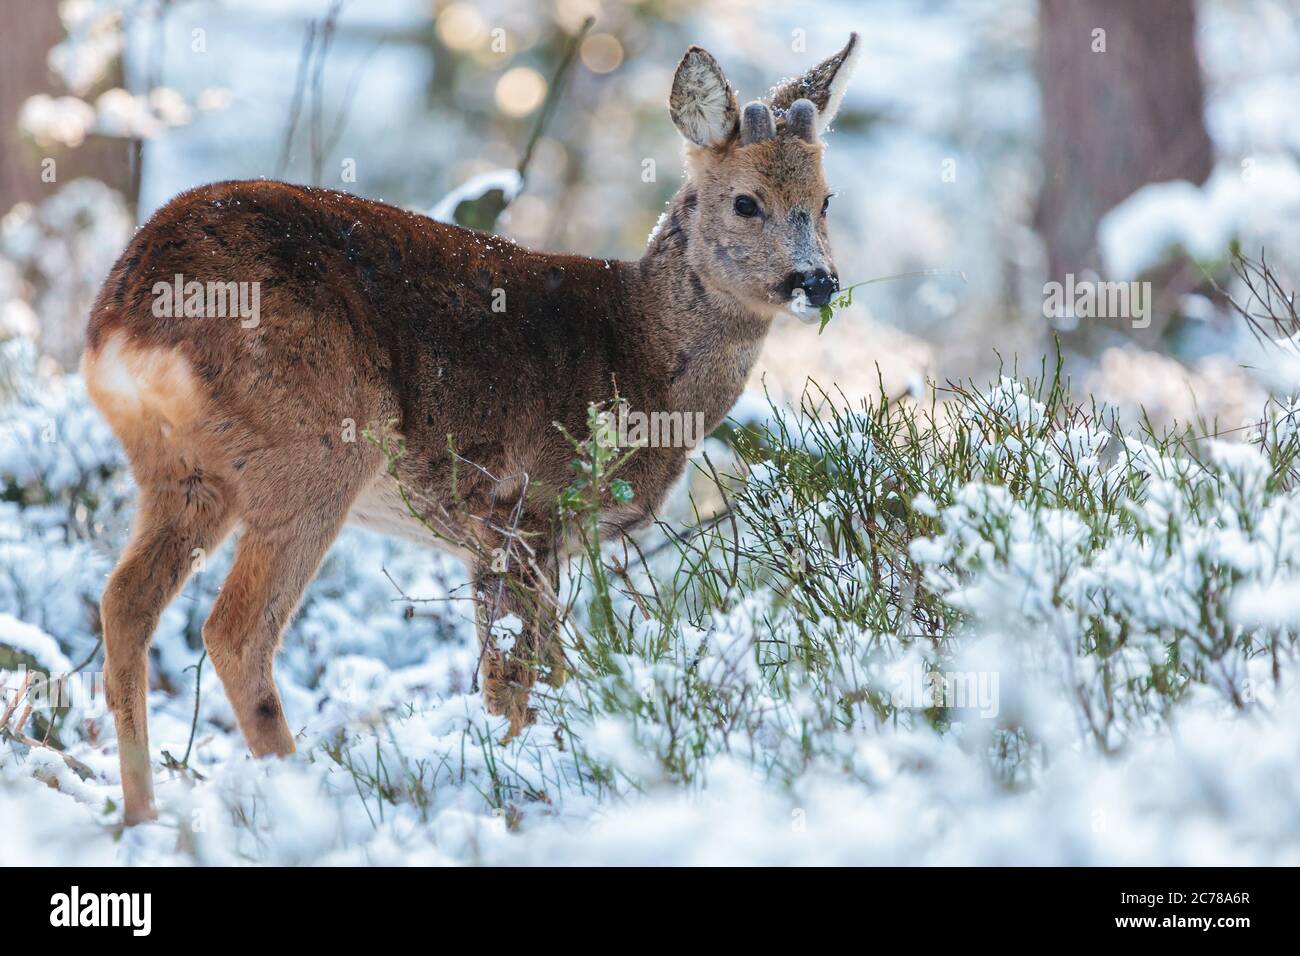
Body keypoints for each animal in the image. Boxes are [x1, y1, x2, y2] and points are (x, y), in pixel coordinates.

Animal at [78, 31, 852, 822]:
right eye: (746, 201)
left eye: (825, 200)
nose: (817, 281)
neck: (640, 352)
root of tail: (127, 312)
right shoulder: (517, 504)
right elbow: (513, 677)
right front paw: (520, 780)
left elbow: (546, 670)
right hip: (312, 447)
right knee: (234, 630)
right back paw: (304, 799)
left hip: (182, 472)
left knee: (124, 602)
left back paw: (141, 814)